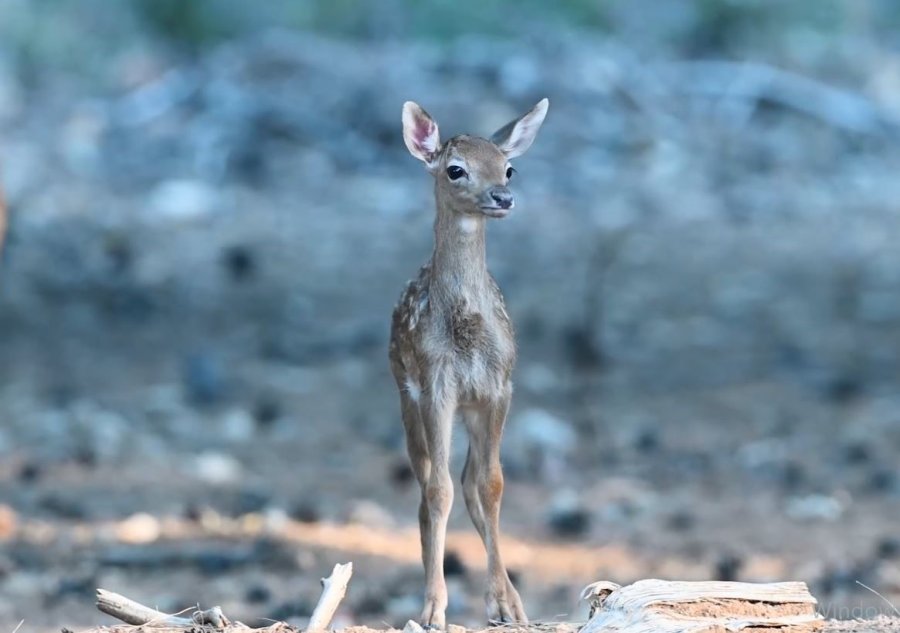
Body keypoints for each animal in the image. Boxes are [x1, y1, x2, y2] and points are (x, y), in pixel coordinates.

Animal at [388, 99, 548, 628]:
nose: (504, 196)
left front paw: (509, 604)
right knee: (425, 486)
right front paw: (434, 608)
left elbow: (491, 485)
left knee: (469, 482)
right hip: (405, 395)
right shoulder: (436, 386)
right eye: (455, 169)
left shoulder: (497, 387)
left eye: (508, 167)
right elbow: (439, 491)